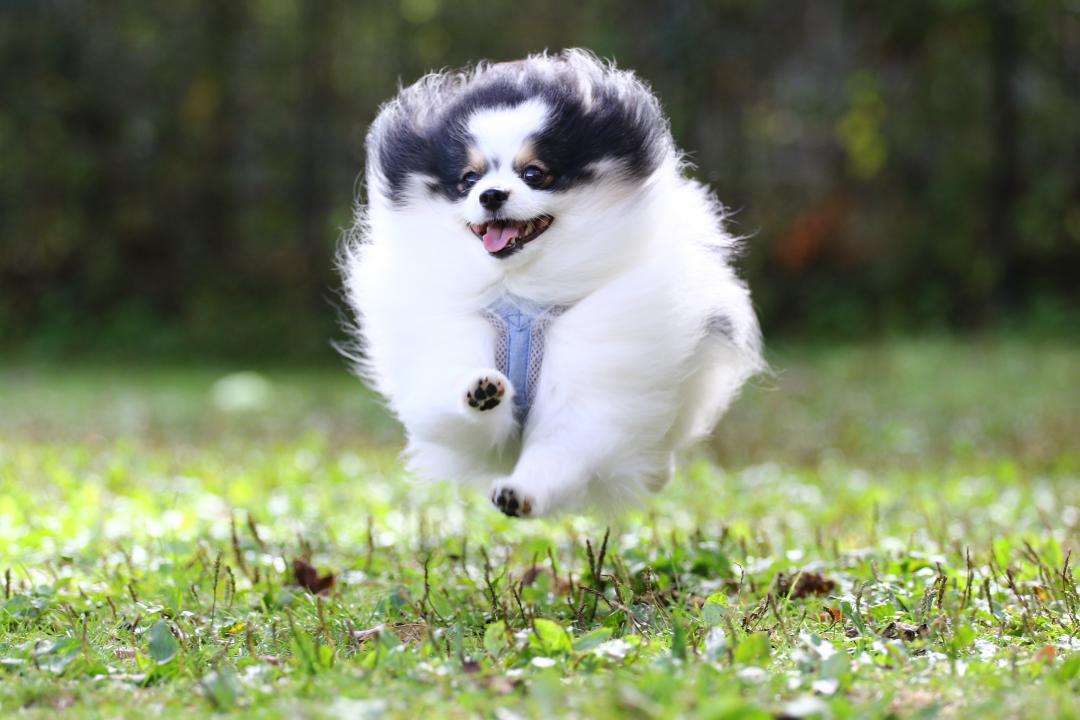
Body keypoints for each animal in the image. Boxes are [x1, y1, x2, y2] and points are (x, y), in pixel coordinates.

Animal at [341, 50, 764, 520]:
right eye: (469, 179)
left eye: (534, 173)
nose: (491, 195)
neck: (521, 294)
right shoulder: (448, 346)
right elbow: (452, 406)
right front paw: (480, 391)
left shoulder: (592, 378)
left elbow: (562, 446)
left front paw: (521, 492)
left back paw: (656, 472)